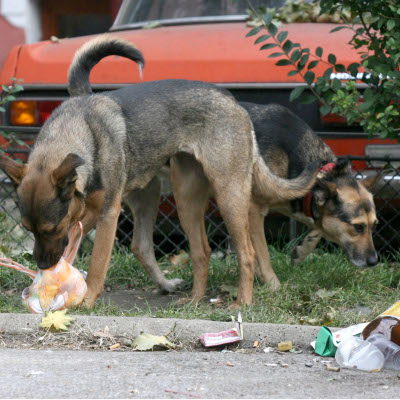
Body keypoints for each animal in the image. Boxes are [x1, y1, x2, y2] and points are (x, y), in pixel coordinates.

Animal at [0, 36, 318, 306]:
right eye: (27, 229)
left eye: (49, 230)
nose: (43, 265)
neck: (79, 132)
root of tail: (232, 101)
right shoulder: (82, 213)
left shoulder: (106, 214)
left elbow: (97, 264)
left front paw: (87, 300)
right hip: (180, 198)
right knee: (192, 251)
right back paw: (193, 300)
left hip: (229, 196)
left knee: (247, 253)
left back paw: (242, 302)